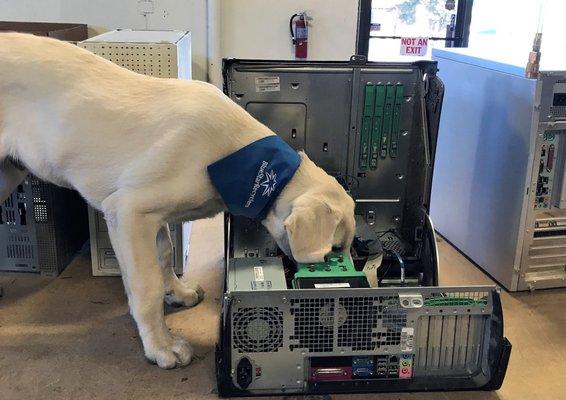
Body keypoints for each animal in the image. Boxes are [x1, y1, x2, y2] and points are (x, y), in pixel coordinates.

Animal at [0, 33, 356, 368]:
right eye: (336, 248)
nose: (331, 271)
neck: (240, 161)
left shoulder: (155, 218)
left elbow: (165, 256)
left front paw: (178, 293)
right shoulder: (128, 212)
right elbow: (146, 288)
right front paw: (161, 346)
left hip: (7, 174)